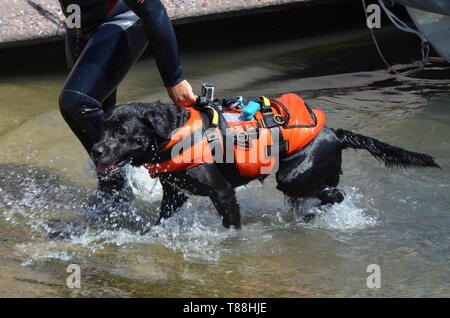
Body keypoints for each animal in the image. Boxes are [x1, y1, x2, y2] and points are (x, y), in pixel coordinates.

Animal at [90, 102, 440, 229]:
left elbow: (232, 226)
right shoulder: (174, 195)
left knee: (335, 194)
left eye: (122, 131)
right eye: (103, 128)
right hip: (297, 183)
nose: (95, 150)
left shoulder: (223, 193)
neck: (174, 135)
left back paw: (314, 216)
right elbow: (161, 220)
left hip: (294, 176)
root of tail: (336, 134)